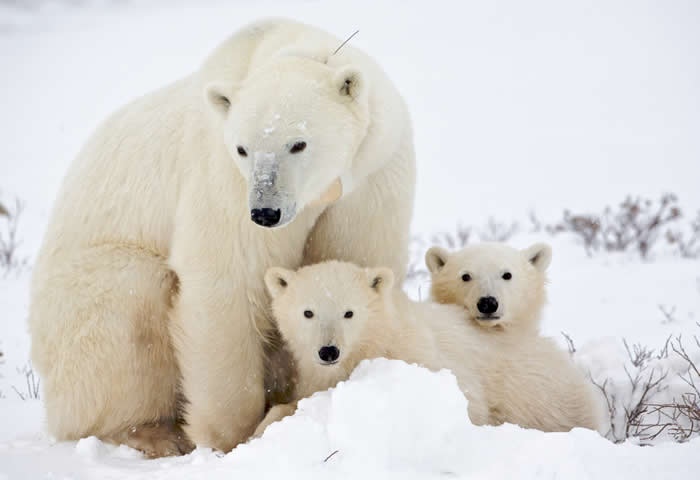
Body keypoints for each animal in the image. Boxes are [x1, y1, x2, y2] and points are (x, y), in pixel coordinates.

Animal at [27, 16, 416, 456]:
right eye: (243, 148)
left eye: (298, 143)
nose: (265, 212)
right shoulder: (223, 177)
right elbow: (227, 279)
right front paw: (233, 436)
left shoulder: (372, 175)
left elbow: (354, 259)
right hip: (81, 302)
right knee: (129, 308)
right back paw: (153, 433)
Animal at [256, 260, 600, 436]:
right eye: (308, 312)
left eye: (349, 313)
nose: (328, 351)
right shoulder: (315, 376)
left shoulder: (423, 360)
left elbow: (469, 405)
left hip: (545, 399)